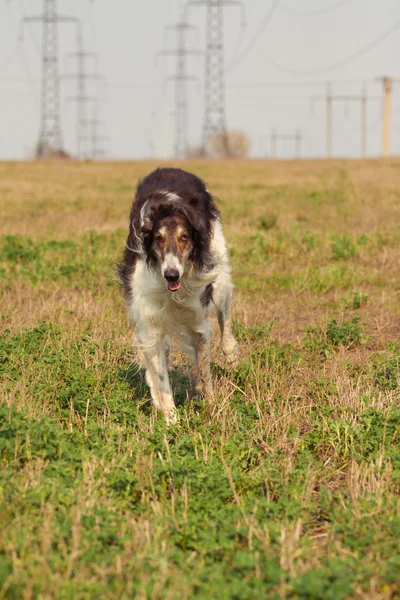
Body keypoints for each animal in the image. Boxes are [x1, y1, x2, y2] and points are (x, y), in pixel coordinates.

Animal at [119, 166, 238, 424]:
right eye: (158, 238)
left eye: (185, 237)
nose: (171, 275)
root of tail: (172, 168)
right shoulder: (150, 320)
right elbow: (161, 376)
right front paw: (170, 418)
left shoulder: (198, 318)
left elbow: (204, 369)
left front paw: (210, 406)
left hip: (220, 271)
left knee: (224, 315)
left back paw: (231, 354)